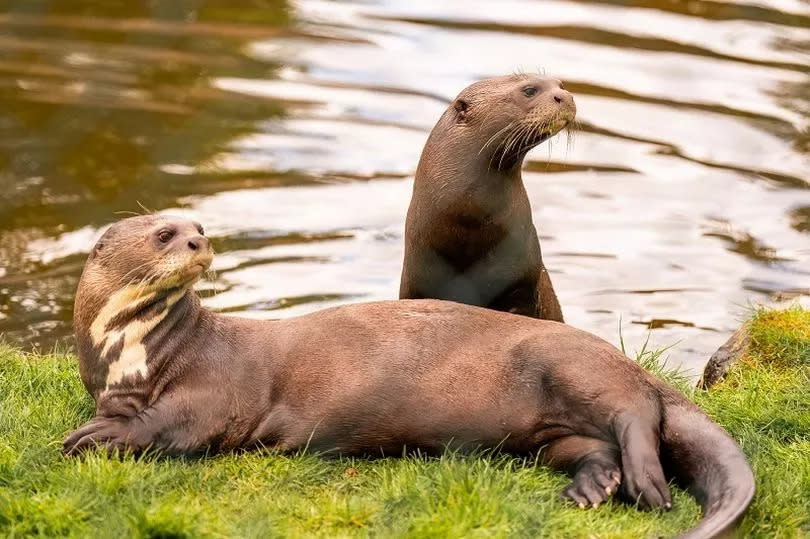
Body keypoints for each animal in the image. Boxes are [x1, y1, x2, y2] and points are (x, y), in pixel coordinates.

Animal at [66, 215, 756, 539]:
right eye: (165, 232)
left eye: (198, 227)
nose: (199, 243)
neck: (133, 352)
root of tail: (622, 359)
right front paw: (100, 426)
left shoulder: (217, 390)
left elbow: (174, 424)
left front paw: (93, 439)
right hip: (545, 434)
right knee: (593, 445)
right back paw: (591, 489)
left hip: (574, 365)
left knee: (637, 414)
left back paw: (649, 486)